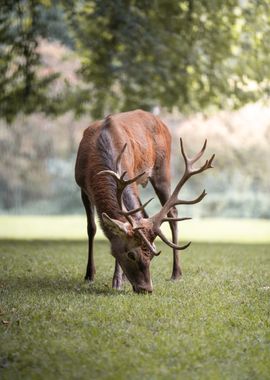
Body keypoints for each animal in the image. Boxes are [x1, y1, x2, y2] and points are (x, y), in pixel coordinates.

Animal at [75, 110, 214, 294]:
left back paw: (176, 273)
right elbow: (91, 228)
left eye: (152, 256)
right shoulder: (82, 186)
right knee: (146, 214)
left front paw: (117, 281)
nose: (146, 288)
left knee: (172, 214)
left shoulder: (131, 175)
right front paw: (89, 275)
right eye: (131, 254)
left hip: (162, 170)